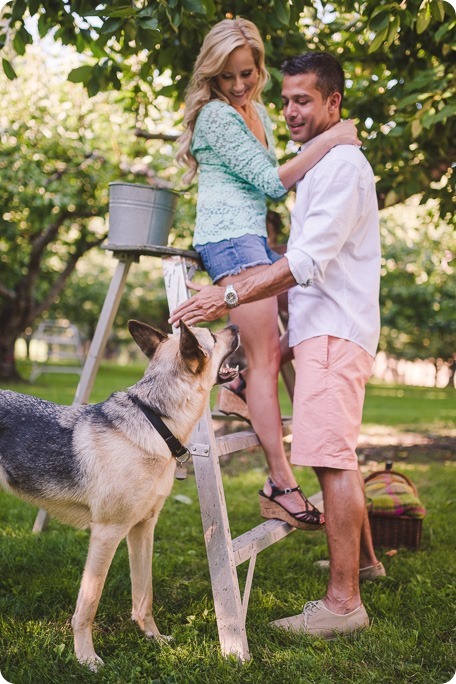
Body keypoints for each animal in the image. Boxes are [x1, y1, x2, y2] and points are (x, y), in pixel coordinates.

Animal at [0, 320, 240, 668]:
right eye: (211, 335)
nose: (234, 325)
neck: (156, 422)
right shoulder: (106, 533)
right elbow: (88, 605)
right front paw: (85, 657)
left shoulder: (142, 529)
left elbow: (144, 594)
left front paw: (153, 637)